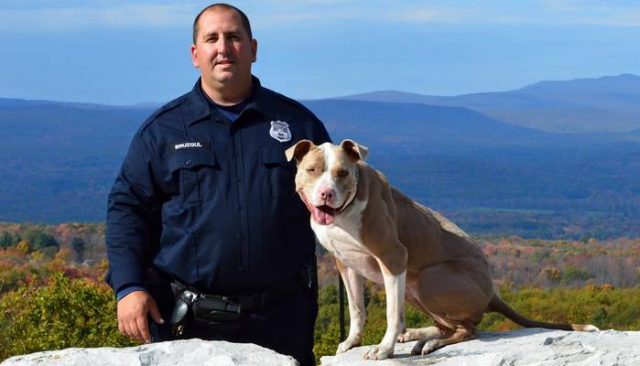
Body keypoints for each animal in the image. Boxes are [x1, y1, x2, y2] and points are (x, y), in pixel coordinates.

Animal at [284, 139, 596, 360]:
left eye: (342, 173)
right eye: (312, 170)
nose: (326, 193)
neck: (345, 212)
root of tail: (491, 292)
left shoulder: (393, 258)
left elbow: (392, 313)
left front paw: (383, 349)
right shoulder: (345, 264)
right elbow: (357, 308)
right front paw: (352, 342)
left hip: (430, 278)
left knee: (468, 328)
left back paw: (429, 342)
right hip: (415, 288)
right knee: (451, 324)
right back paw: (417, 334)